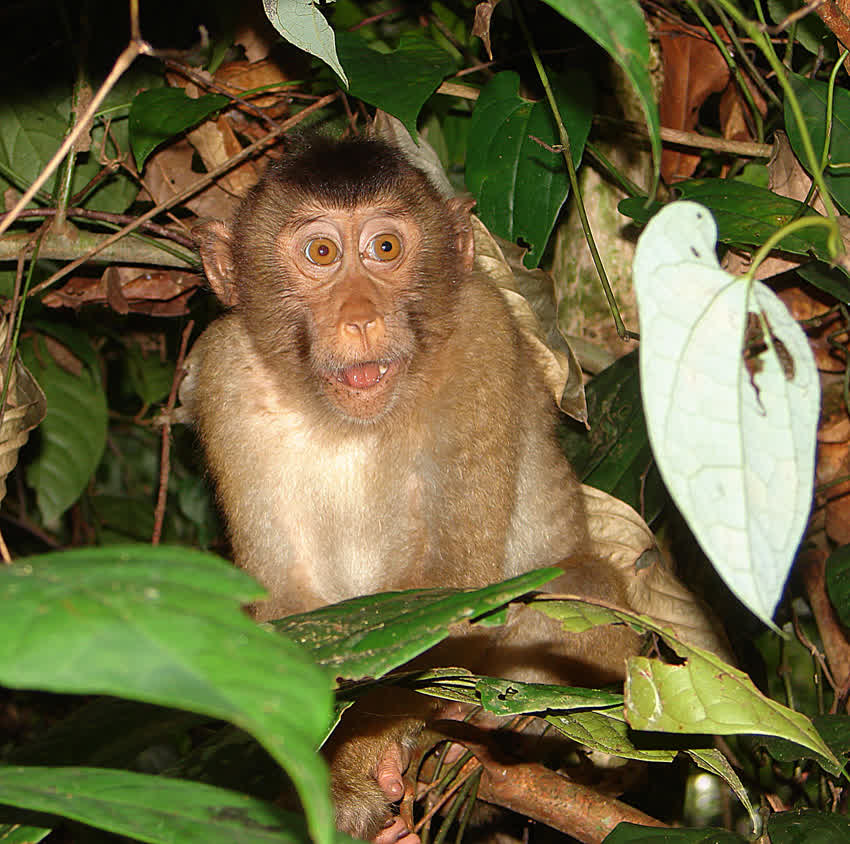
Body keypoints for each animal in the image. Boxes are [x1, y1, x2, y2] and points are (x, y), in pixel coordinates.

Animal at [186, 135, 654, 842]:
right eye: (320, 253)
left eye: (385, 248)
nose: (359, 318)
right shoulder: (223, 374)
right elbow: (284, 601)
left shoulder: (482, 339)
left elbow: (445, 591)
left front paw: (355, 763)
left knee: (582, 586)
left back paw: (486, 728)